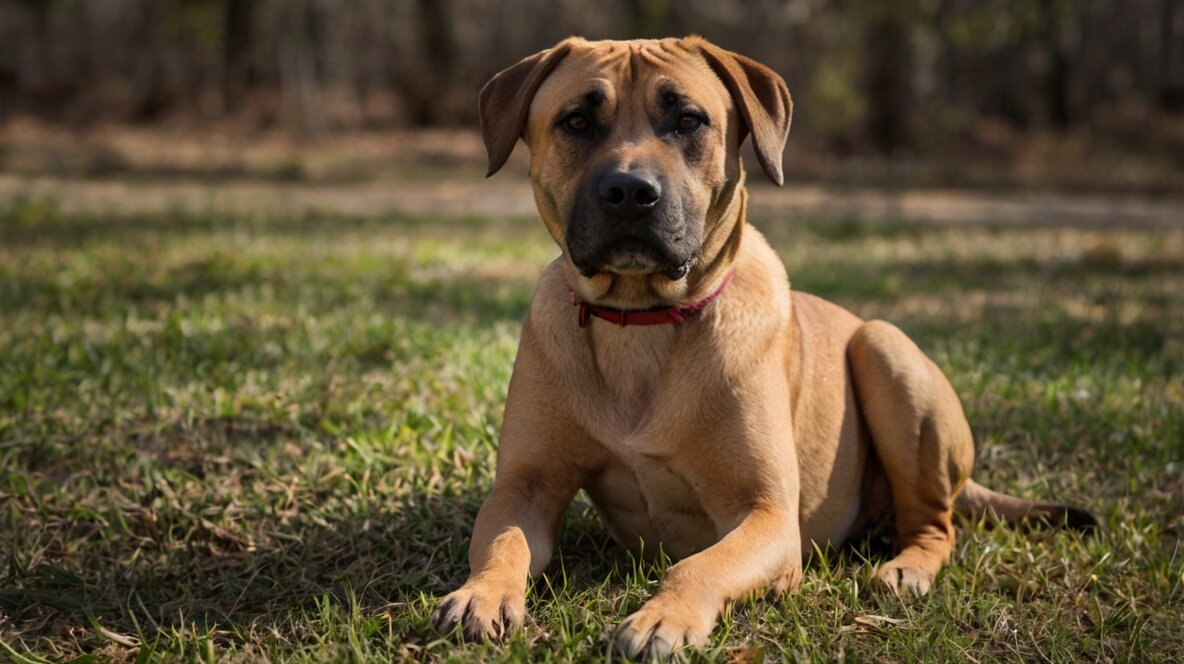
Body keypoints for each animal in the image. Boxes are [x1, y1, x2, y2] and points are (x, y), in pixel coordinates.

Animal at [430, 37, 1094, 658]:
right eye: (576, 121)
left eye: (688, 120)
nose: (629, 191)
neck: (642, 320)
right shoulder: (524, 486)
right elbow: (504, 543)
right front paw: (481, 594)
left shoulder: (768, 516)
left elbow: (698, 564)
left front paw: (663, 618)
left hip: (887, 353)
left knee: (937, 525)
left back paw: (906, 569)